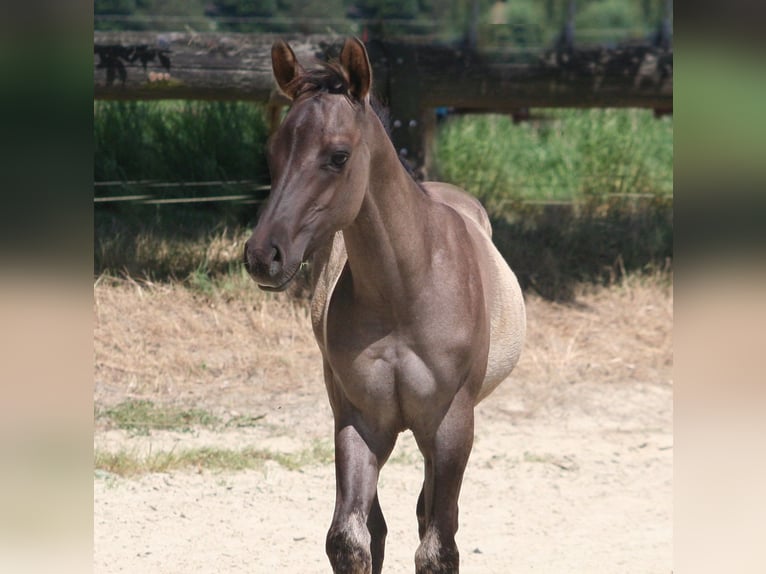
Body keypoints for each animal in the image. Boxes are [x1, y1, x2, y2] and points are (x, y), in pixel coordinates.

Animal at [246, 38, 528, 572]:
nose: (263, 256)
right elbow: (350, 539)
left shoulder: (451, 424)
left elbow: (439, 546)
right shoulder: (360, 419)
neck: (405, 291)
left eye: (338, 156)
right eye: (271, 154)